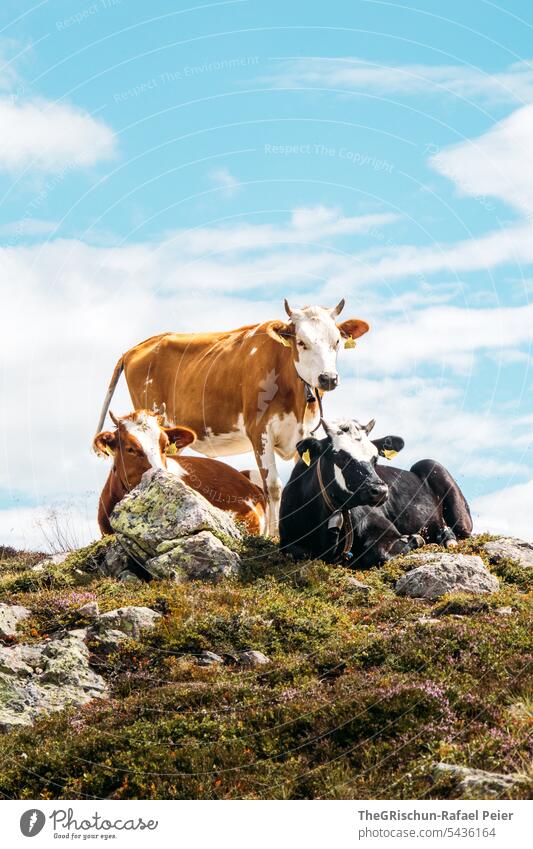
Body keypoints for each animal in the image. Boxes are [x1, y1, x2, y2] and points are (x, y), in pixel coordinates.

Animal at [278, 416, 470, 568]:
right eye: (341, 456)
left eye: (375, 458)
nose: (380, 490)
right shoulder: (287, 542)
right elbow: (298, 552)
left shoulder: (383, 529)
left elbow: (380, 552)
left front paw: (414, 539)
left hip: (435, 470)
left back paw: (446, 536)